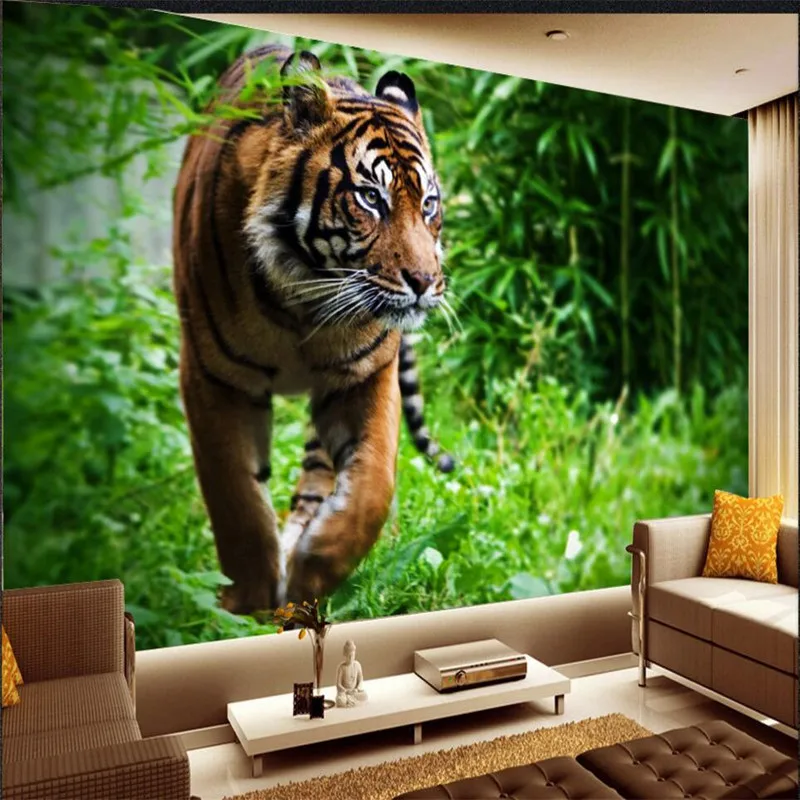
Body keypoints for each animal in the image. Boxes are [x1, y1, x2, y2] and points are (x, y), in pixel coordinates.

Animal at [172, 44, 454, 615]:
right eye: (371, 199)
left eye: (428, 204)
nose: (425, 282)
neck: (304, 302)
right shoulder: (213, 377)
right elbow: (233, 493)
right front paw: (250, 599)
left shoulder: (366, 375)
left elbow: (372, 487)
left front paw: (312, 575)